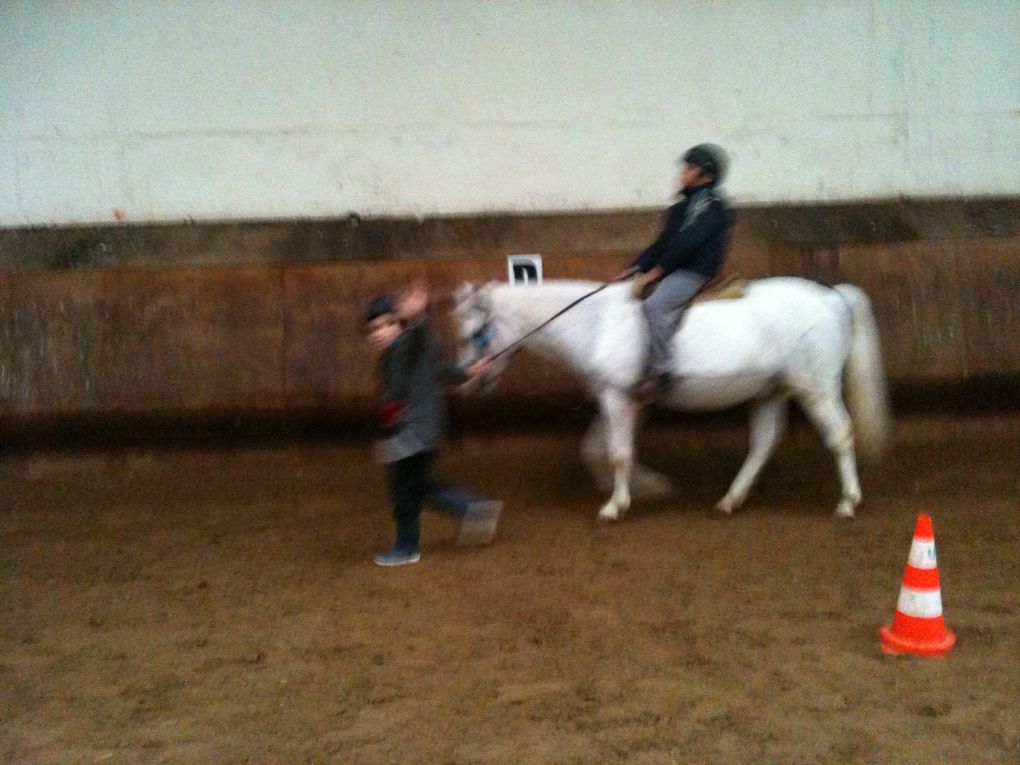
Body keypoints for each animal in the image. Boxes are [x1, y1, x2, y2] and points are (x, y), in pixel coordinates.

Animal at [459, 275, 889, 522]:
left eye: (474, 333)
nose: (468, 380)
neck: (597, 323)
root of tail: (832, 297)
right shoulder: (621, 400)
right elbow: (596, 448)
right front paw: (644, 486)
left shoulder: (618, 399)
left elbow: (617, 453)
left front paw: (616, 505)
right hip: (769, 391)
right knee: (764, 441)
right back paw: (731, 500)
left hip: (816, 387)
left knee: (839, 436)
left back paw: (848, 502)